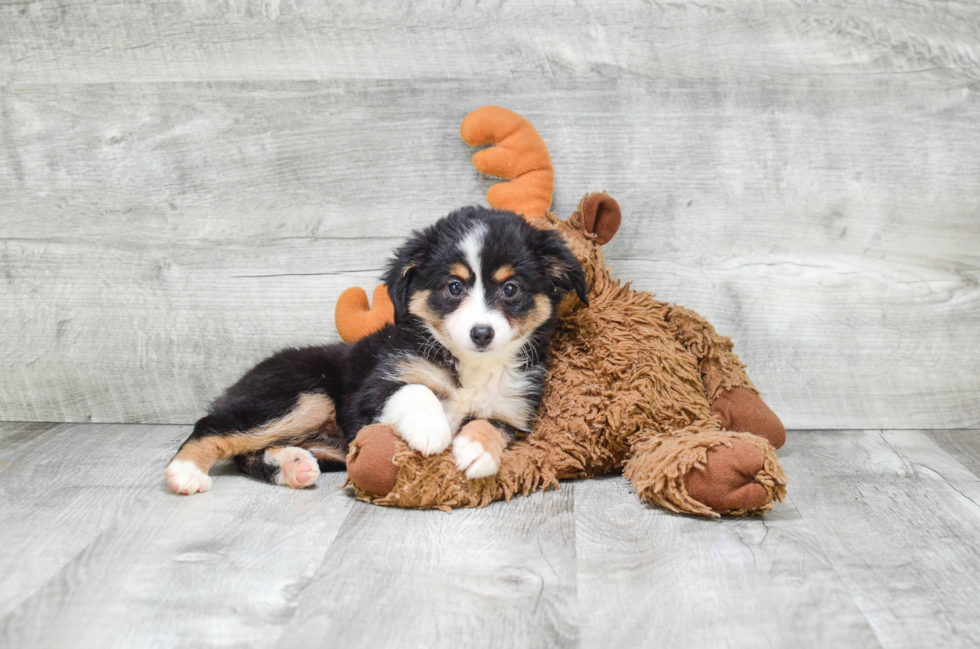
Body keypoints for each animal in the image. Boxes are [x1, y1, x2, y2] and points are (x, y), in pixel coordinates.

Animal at [165, 205, 584, 494]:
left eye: (511, 289)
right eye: (453, 287)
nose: (481, 333)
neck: (470, 365)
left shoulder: (515, 412)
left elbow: (492, 424)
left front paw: (477, 450)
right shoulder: (370, 391)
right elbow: (415, 390)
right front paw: (432, 429)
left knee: (250, 452)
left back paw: (293, 465)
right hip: (304, 395)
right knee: (213, 426)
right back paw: (185, 472)